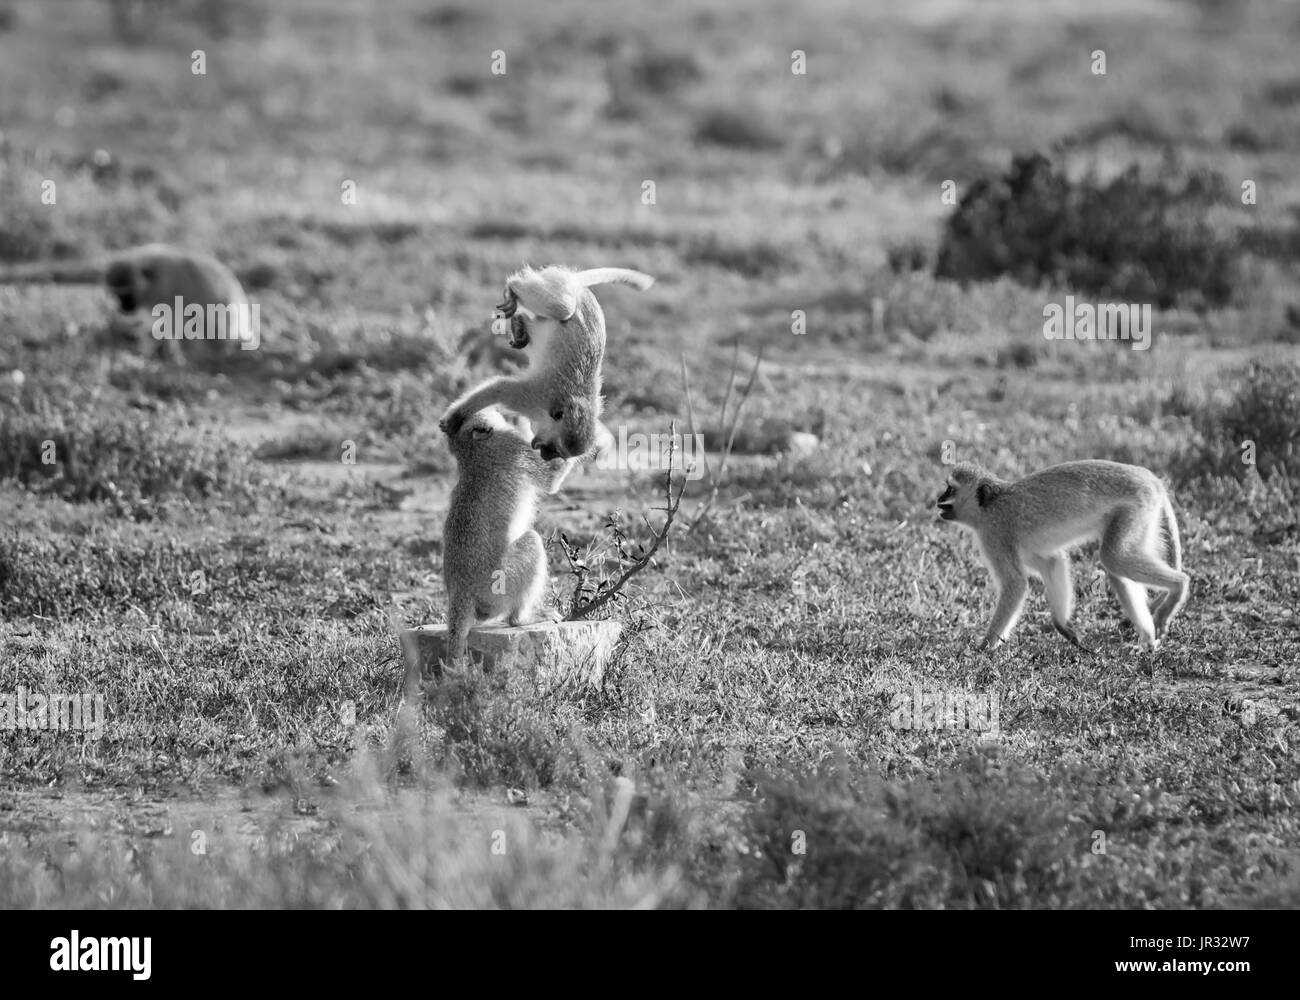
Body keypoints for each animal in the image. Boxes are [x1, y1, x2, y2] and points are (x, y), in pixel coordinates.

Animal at [0, 243, 254, 366]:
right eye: (116, 294)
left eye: (126, 294)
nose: (123, 309)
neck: (152, 274)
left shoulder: (167, 290)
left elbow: (174, 321)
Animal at [438, 265, 654, 461]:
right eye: (554, 449)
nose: (546, 456)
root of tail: (576, 284)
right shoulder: (530, 398)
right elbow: (499, 388)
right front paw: (455, 417)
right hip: (559, 286)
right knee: (562, 308)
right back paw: (513, 286)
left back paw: (520, 323)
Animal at [440, 407, 578, 671]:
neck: (470, 450)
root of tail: (461, 592)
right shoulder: (513, 447)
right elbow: (552, 478)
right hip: (498, 586)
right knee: (532, 542)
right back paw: (521, 619)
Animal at [935, 459, 1189, 652]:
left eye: (950, 489)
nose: (938, 498)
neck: (990, 505)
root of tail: (1151, 478)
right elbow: (1052, 562)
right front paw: (1064, 626)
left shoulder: (994, 535)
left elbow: (1015, 584)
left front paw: (984, 647)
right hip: (1143, 516)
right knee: (1116, 567)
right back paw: (1147, 641)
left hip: (1136, 508)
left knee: (1113, 556)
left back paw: (1179, 586)